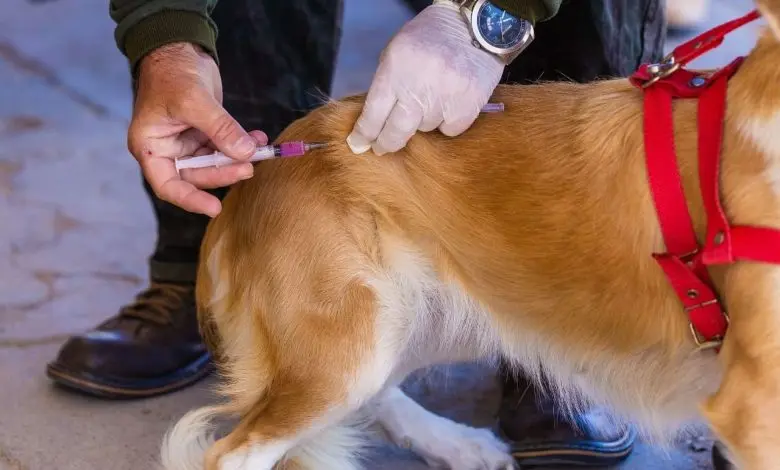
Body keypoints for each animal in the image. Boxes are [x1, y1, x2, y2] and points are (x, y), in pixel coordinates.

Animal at [160, 1, 780, 468]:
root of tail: (250, 182)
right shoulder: (751, 403)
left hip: (460, 307)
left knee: (378, 395)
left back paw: (456, 444)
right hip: (351, 340)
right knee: (235, 453)